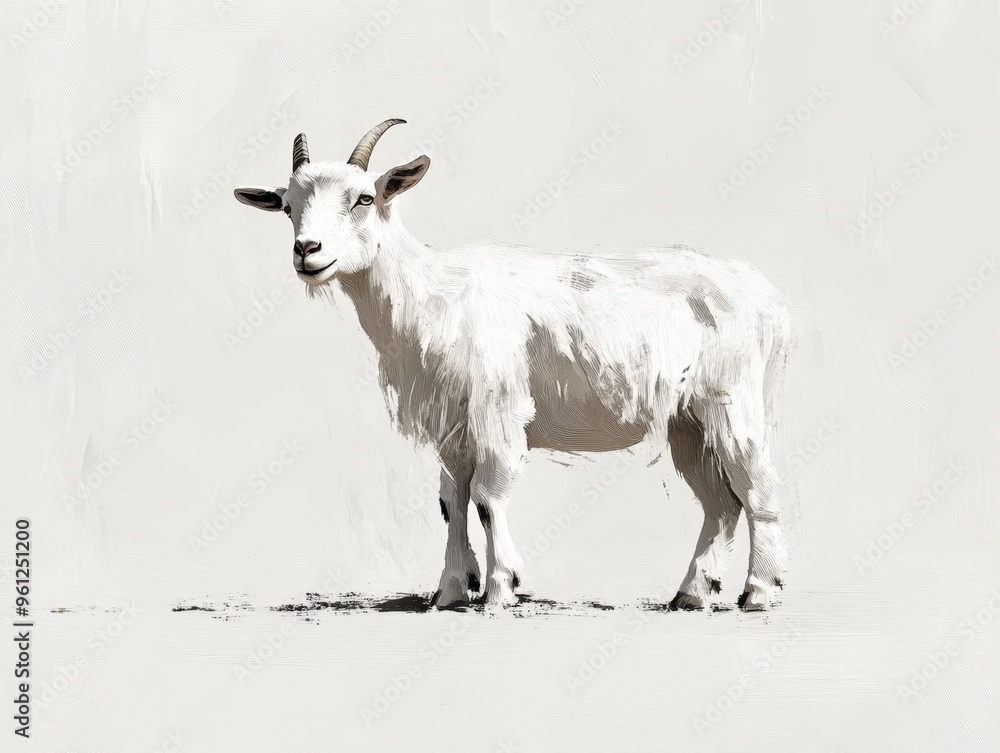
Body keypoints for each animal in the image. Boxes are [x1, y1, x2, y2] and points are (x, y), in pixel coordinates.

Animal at [234, 120, 792, 611]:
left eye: (364, 199)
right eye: (287, 206)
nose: (307, 251)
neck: (435, 295)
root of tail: (769, 300)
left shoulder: (497, 407)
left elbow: (486, 495)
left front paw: (501, 589)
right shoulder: (451, 423)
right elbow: (451, 499)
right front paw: (451, 591)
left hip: (731, 400)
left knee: (757, 487)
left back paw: (758, 593)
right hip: (687, 421)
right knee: (721, 502)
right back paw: (690, 594)